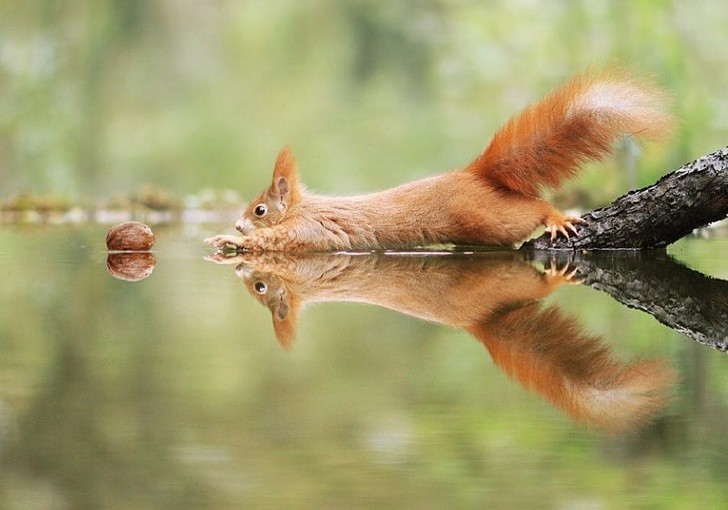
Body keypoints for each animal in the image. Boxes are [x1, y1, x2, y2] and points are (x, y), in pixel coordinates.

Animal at [203, 72, 672, 253]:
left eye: (259, 210)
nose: (238, 225)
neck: (303, 208)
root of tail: (472, 174)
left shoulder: (308, 231)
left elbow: (277, 243)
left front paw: (228, 241)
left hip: (486, 218)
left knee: (532, 210)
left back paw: (557, 216)